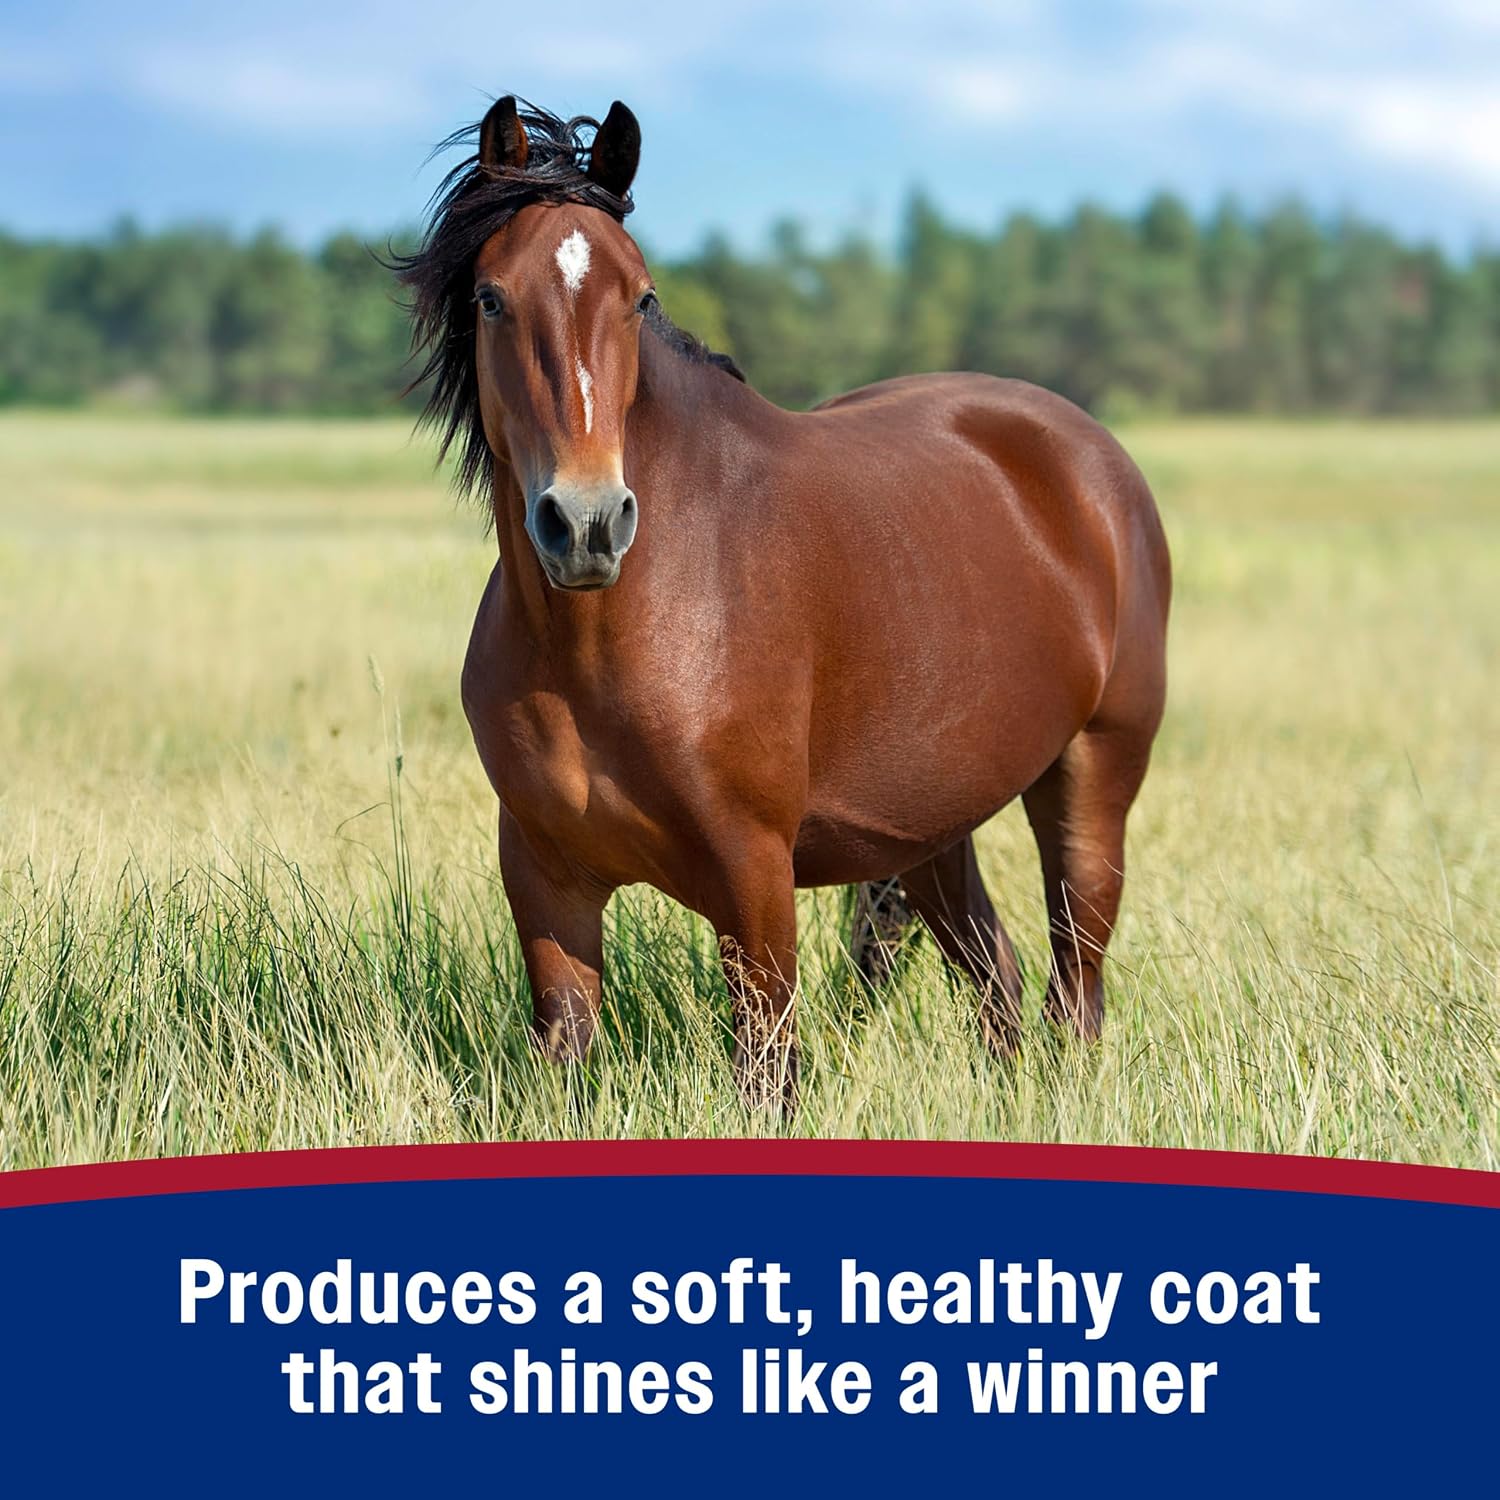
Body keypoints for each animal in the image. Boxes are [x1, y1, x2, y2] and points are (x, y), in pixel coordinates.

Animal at [397, 97, 1171, 1111]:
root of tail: (1095, 462)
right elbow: (566, 1061)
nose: (588, 523)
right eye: (491, 298)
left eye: (640, 298)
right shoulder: (545, 880)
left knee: (1073, 985)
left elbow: (768, 1076)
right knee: (998, 985)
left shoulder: (754, 877)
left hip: (1093, 779)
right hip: (932, 832)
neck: (609, 636)